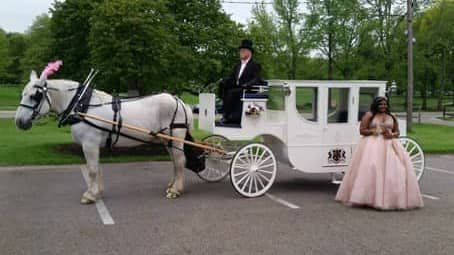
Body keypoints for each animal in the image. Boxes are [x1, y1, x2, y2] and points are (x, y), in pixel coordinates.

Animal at [15, 70, 193, 204]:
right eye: (23, 94)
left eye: (34, 96)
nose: (19, 121)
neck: (82, 106)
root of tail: (179, 101)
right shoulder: (94, 145)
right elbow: (97, 168)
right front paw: (97, 192)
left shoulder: (89, 144)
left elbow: (93, 170)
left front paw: (90, 195)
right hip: (167, 140)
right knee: (174, 161)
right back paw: (172, 184)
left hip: (176, 136)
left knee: (179, 161)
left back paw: (175, 189)